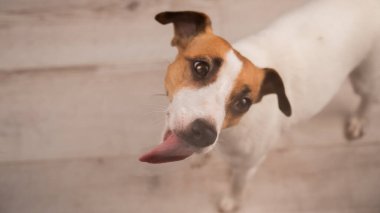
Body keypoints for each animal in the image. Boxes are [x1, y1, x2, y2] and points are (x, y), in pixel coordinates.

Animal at [140, 0, 380, 211]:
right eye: (200, 67)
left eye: (244, 103)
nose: (204, 133)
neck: (229, 132)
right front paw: (201, 158)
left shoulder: (247, 167)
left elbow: (237, 185)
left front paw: (231, 202)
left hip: (365, 78)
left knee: (367, 99)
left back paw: (359, 121)